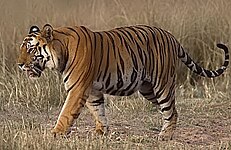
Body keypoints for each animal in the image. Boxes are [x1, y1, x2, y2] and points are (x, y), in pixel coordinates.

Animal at [17, 24, 228, 140]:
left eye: (31, 49)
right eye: (22, 49)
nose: (19, 64)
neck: (61, 50)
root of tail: (171, 36)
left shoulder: (77, 88)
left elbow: (66, 113)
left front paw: (56, 133)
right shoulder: (92, 90)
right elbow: (98, 111)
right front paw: (101, 131)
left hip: (162, 84)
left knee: (171, 110)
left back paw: (165, 136)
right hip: (148, 89)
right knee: (169, 109)